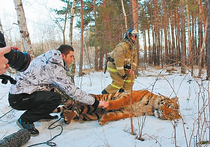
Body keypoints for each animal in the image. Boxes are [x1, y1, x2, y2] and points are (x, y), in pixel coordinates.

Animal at [53, 89, 181, 125]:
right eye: (168, 105)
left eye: (170, 115)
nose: (163, 113)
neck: (150, 108)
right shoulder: (132, 96)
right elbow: (119, 101)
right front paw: (108, 105)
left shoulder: (130, 113)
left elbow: (116, 115)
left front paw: (104, 120)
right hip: (89, 103)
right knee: (74, 107)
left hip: (90, 114)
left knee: (74, 112)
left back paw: (67, 117)